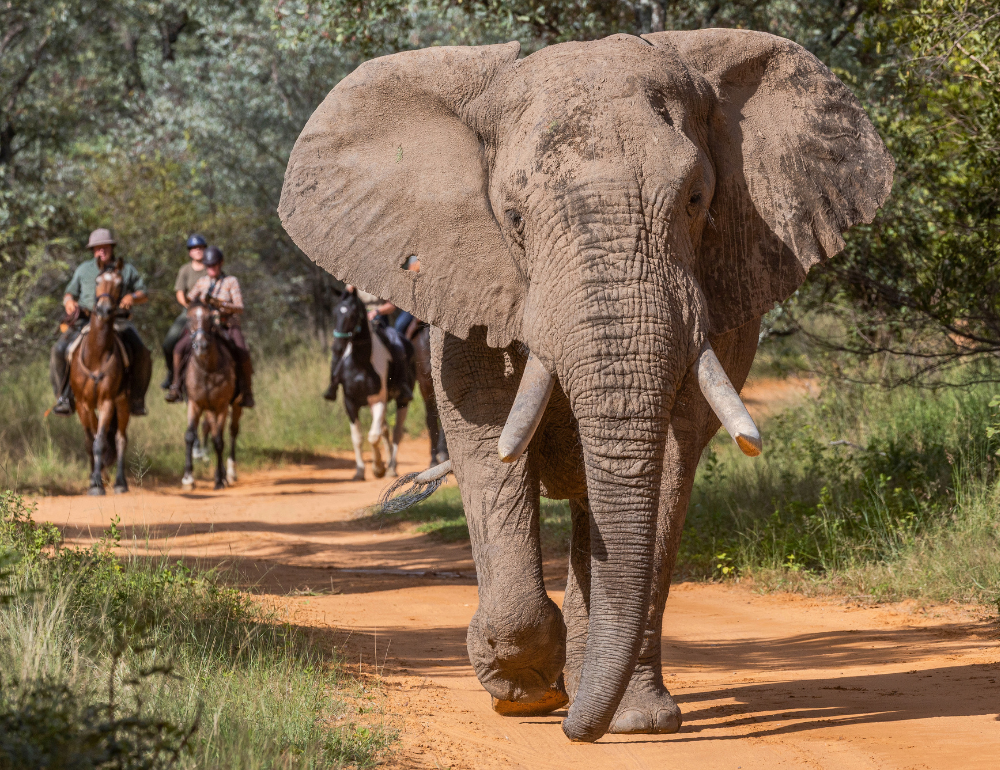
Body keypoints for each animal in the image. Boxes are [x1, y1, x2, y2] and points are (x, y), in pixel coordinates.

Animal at [68, 269, 130, 495]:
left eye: (120, 284)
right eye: (97, 281)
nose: (104, 309)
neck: (96, 354)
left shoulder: (107, 402)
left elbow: (100, 442)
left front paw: (97, 484)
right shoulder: (82, 404)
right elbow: (91, 441)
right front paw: (94, 480)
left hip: (123, 403)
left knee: (120, 439)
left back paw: (120, 483)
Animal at [180, 301, 242, 490]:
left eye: (210, 319)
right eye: (189, 319)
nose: (201, 346)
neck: (207, 369)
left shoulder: (221, 406)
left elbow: (219, 441)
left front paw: (219, 480)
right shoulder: (196, 403)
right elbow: (190, 436)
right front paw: (188, 478)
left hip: (236, 405)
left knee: (232, 432)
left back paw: (230, 473)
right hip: (208, 409)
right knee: (212, 429)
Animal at [330, 291, 414, 480]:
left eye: (353, 315)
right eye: (335, 312)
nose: (337, 347)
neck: (360, 363)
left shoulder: (378, 401)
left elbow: (373, 436)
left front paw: (378, 468)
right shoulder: (350, 402)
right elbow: (358, 437)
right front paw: (360, 471)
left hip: (402, 400)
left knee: (396, 431)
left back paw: (391, 468)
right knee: (385, 429)